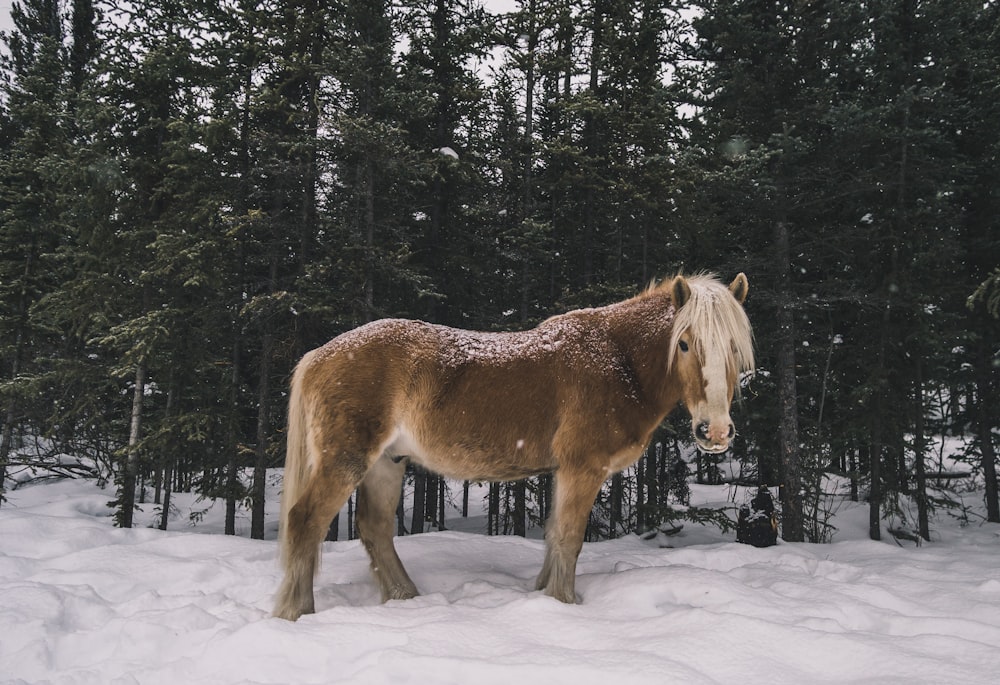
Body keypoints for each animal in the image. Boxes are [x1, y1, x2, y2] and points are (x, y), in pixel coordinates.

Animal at [272, 272, 752, 620]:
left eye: (734, 347)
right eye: (685, 343)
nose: (714, 432)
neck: (618, 361)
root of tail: (319, 355)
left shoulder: (563, 472)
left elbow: (555, 535)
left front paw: (544, 595)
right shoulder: (583, 468)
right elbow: (569, 538)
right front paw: (563, 604)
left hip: (387, 463)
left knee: (374, 529)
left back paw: (405, 597)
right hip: (345, 461)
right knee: (305, 521)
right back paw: (296, 612)